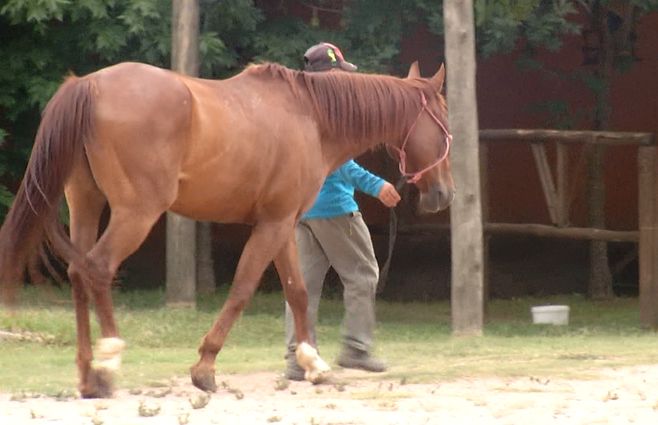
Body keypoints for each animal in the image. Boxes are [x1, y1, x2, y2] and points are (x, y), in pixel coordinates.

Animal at [0, 60, 454, 398]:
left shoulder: (283, 224)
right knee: (97, 268)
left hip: (85, 204)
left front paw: (312, 362)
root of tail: (88, 85)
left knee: (77, 274)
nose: (444, 194)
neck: (310, 115)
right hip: (136, 214)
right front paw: (205, 367)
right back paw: (109, 359)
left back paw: (87, 374)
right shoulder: (271, 226)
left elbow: (298, 292)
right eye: (445, 120)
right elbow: (242, 290)